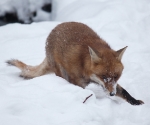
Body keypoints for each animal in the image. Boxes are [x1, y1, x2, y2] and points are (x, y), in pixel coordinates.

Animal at [6, 21, 144, 105]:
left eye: (116, 76)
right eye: (104, 77)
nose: (112, 94)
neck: (85, 65)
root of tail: (55, 28)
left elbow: (124, 92)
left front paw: (135, 102)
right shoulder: (77, 82)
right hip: (61, 73)